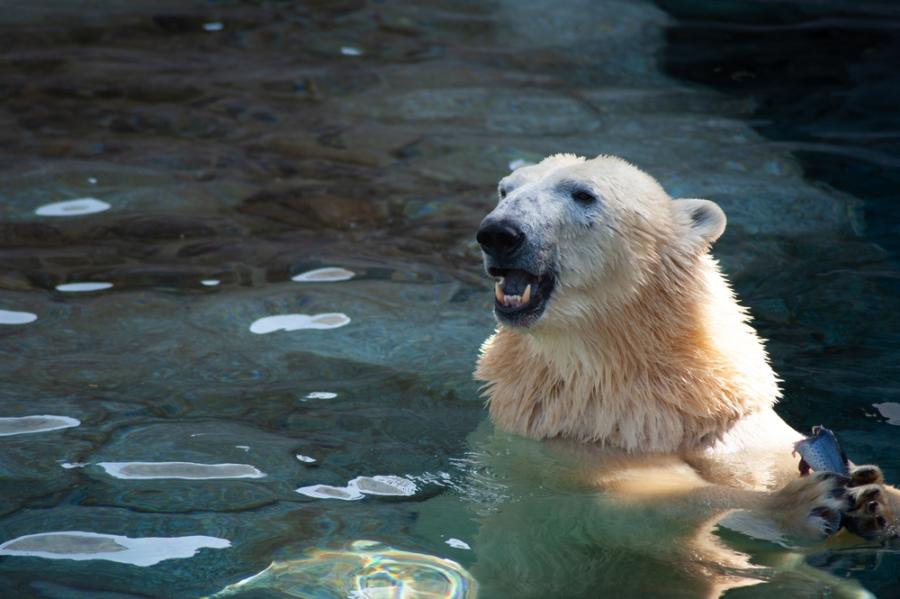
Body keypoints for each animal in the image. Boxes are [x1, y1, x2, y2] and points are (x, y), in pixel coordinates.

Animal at [468, 156, 896, 599]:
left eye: (583, 194)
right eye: (506, 189)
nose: (499, 233)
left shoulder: (724, 418)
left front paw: (873, 495)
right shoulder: (567, 441)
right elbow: (648, 500)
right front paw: (800, 504)